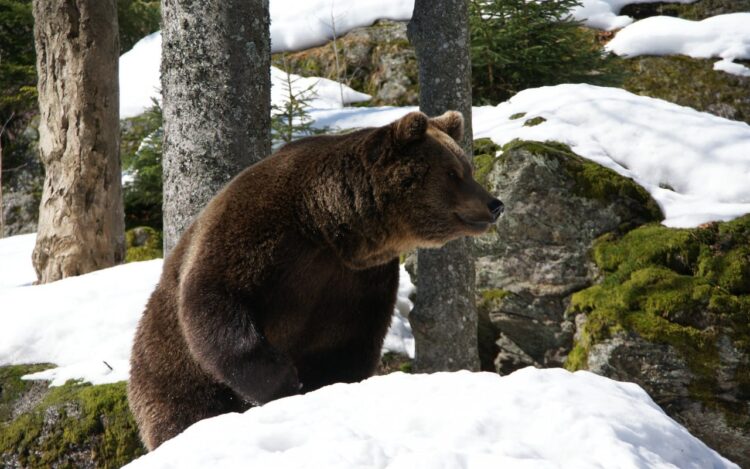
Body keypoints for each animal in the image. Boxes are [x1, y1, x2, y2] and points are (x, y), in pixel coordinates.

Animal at [127, 110, 504, 450]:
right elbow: (215, 301)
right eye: (453, 173)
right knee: (182, 409)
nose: (495, 203)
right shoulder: (256, 233)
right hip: (168, 368)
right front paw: (283, 380)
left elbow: (348, 344)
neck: (327, 226)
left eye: (467, 168)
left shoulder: (355, 281)